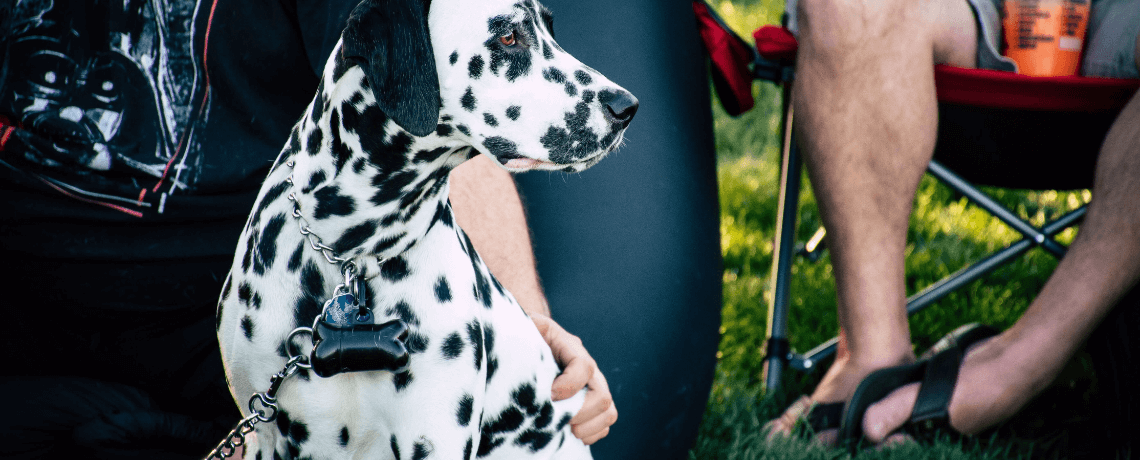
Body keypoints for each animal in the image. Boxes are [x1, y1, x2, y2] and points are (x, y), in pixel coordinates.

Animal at [216, 0, 638, 457]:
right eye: (509, 37)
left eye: (551, 29)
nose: (627, 106)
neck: (350, 250)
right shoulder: (262, 433)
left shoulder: (434, 436)